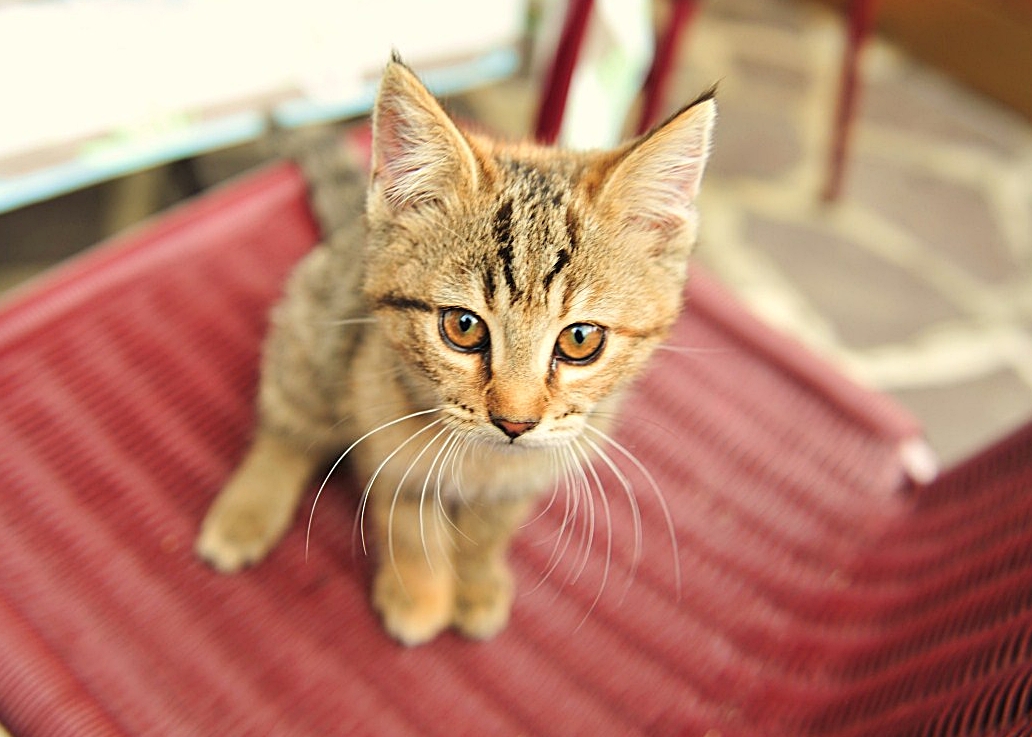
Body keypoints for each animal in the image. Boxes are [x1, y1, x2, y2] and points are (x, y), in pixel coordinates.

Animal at [195, 57, 718, 644]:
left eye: (581, 340)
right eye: (463, 327)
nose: (515, 422)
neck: (484, 461)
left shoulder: (541, 464)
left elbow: (491, 527)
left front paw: (474, 579)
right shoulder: (387, 441)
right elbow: (408, 521)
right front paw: (420, 594)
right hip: (314, 333)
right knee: (289, 424)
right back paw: (249, 507)